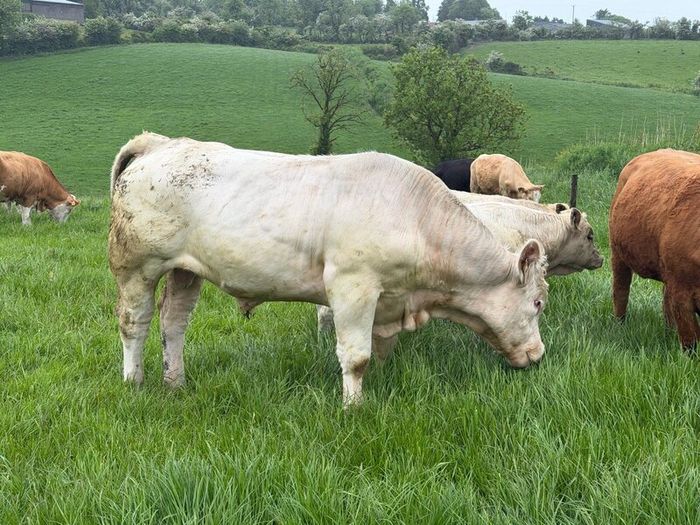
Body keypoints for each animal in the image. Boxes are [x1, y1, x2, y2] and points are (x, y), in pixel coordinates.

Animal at [108, 132, 549, 406]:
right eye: (538, 303)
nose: (539, 354)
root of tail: (160, 143)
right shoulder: (353, 287)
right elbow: (356, 357)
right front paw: (354, 407)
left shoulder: (390, 299)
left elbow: (380, 350)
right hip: (135, 266)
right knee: (135, 323)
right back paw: (134, 382)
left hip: (185, 271)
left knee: (173, 324)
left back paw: (175, 382)